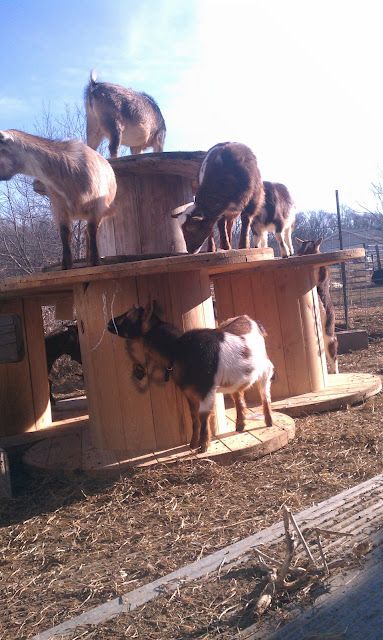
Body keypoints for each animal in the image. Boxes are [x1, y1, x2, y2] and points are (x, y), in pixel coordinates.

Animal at [0, 129, 117, 268]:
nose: (36, 184)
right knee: (83, 232)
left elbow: (92, 230)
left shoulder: (96, 207)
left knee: (90, 231)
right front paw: (66, 264)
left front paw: (95, 261)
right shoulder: (59, 208)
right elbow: (64, 233)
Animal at [106, 302, 274, 452]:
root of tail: (251, 320)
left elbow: (203, 416)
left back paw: (269, 421)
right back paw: (240, 426)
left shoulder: (207, 390)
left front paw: (203, 447)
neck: (178, 348)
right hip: (235, 379)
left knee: (264, 393)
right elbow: (193, 416)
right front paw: (193, 444)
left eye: (128, 316)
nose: (108, 323)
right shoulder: (188, 392)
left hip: (265, 368)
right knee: (238, 396)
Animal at [296, 238, 340, 372]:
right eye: (299, 251)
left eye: (311, 250)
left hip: (328, 337)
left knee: (333, 356)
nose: (299, 257)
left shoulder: (323, 275)